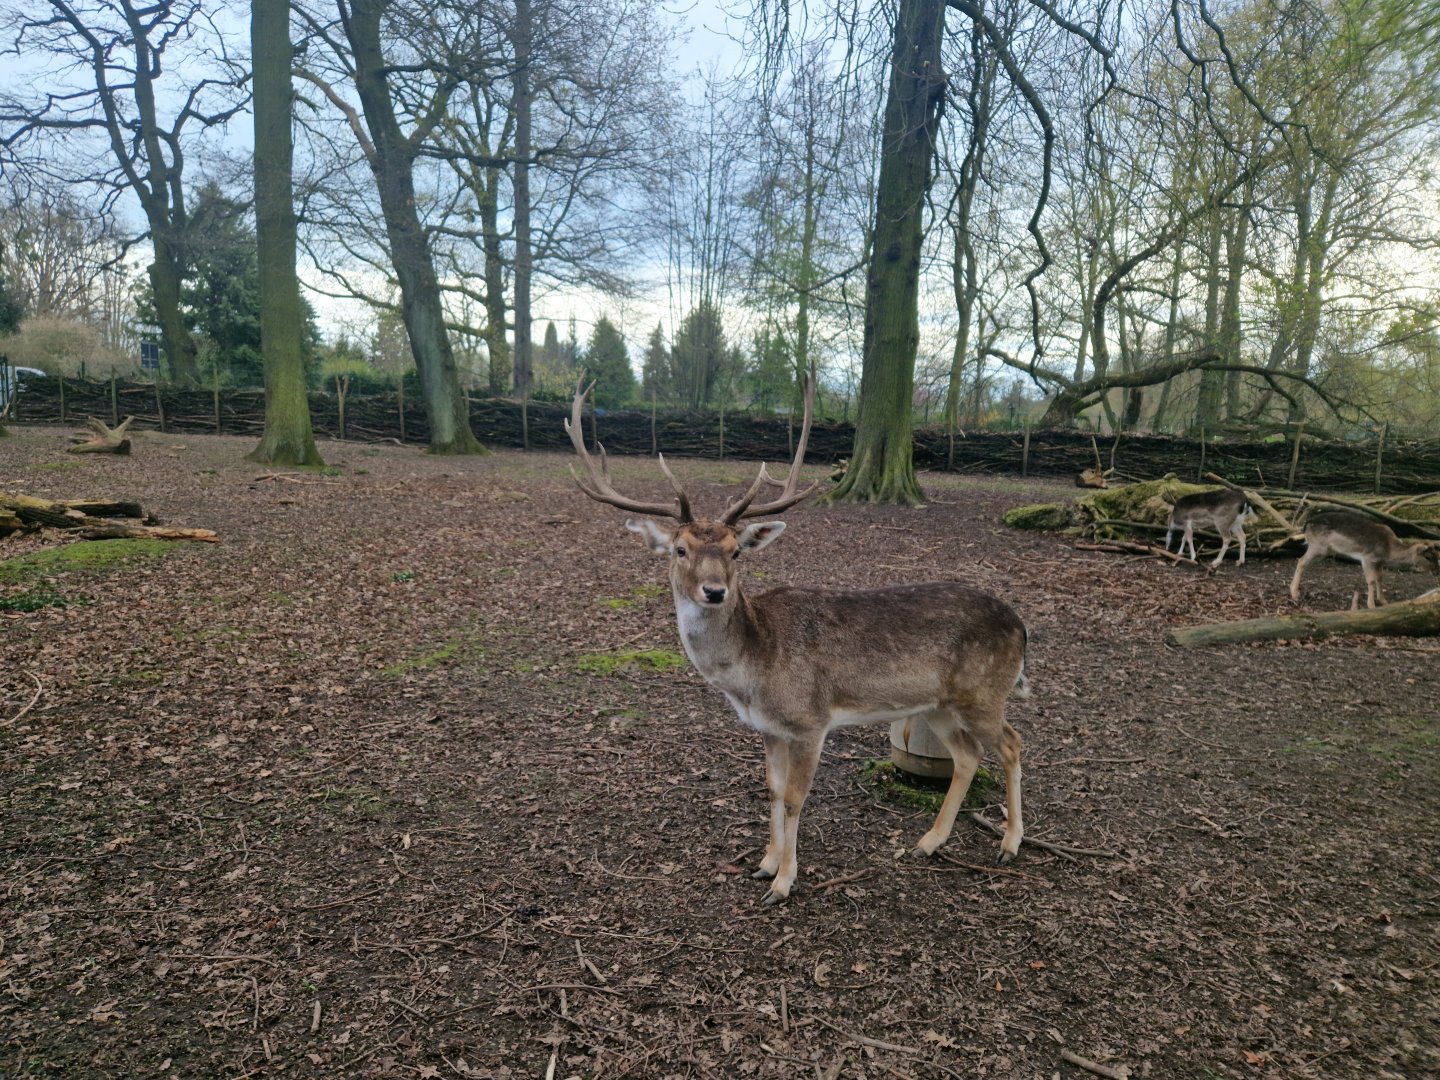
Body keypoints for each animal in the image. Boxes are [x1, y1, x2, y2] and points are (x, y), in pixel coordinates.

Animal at [566, 377, 1031, 905]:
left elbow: (794, 798)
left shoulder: (811, 721)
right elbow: (771, 790)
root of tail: (1022, 626)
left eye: (736, 552)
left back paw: (1010, 844)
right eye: (680, 550)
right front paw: (764, 864)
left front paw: (784, 882)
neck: (752, 673)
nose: (714, 590)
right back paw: (929, 842)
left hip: (984, 692)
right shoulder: (768, 727)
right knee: (968, 756)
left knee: (1012, 744)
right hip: (937, 703)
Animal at [1289, 509, 1440, 609]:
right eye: (1428, 557)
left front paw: (1383, 601)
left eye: (1437, 556)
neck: (1388, 550)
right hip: (1319, 547)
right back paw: (1294, 594)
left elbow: (1380, 578)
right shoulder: (1367, 558)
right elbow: (1371, 580)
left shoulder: (1379, 562)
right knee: (1301, 561)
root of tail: (1306, 523)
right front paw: (1371, 605)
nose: (1437, 571)